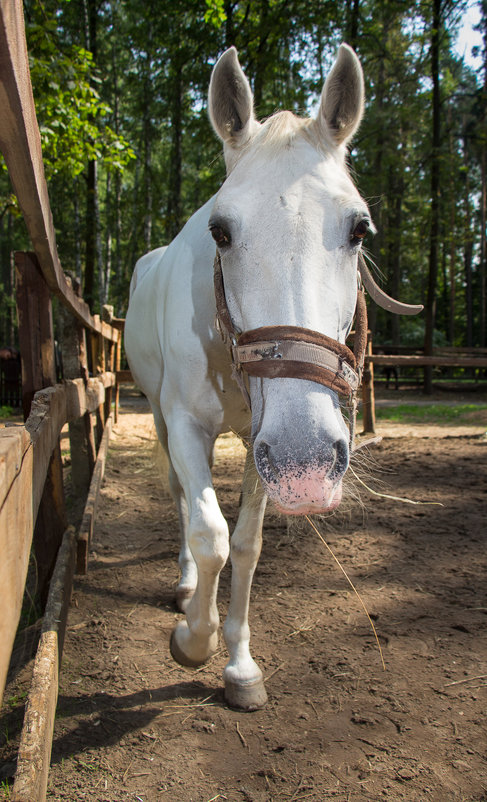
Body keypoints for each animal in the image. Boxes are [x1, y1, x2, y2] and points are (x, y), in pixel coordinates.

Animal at [127, 45, 388, 708]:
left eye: (359, 229)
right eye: (220, 231)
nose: (307, 461)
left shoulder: (259, 445)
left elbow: (245, 547)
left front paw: (240, 665)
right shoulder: (189, 426)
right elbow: (209, 535)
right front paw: (193, 641)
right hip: (160, 417)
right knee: (180, 501)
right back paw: (185, 590)